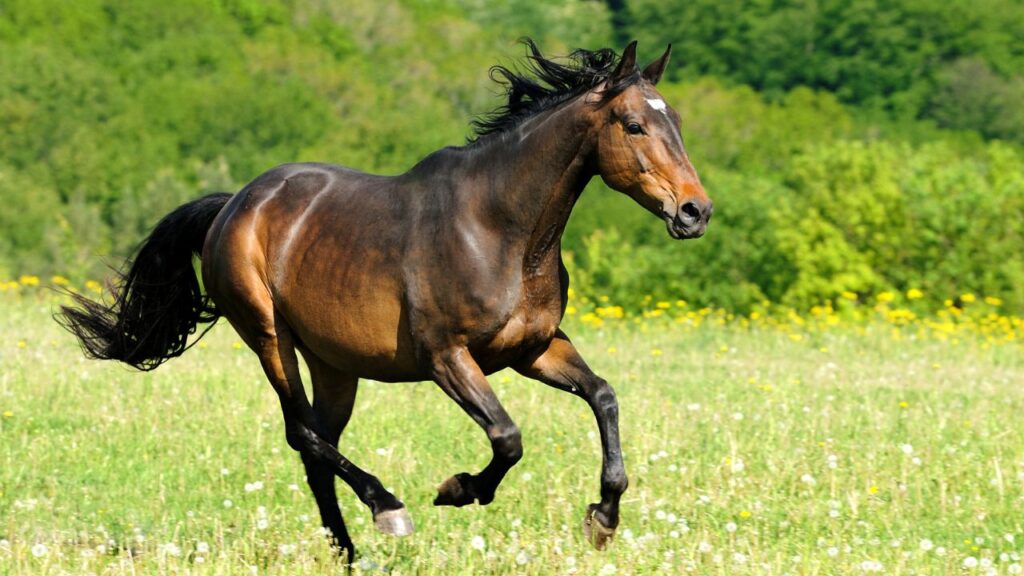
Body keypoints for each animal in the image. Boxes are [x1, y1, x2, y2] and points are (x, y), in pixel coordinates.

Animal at [57, 39, 712, 561]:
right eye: (633, 125)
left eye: (678, 120)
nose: (694, 212)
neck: (500, 230)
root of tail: (233, 205)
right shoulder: (447, 357)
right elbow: (507, 436)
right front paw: (458, 490)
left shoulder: (536, 349)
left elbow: (603, 397)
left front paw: (602, 518)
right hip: (270, 338)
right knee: (302, 434)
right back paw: (387, 509)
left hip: (334, 364)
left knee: (317, 447)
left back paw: (348, 552)